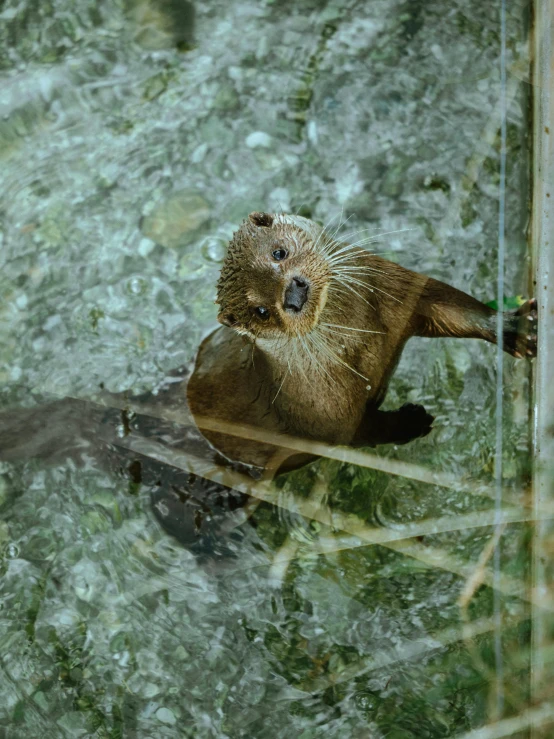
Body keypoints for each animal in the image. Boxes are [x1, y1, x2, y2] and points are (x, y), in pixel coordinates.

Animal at [187, 210, 536, 474]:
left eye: (278, 253)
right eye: (261, 312)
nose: (294, 296)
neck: (359, 344)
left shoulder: (396, 289)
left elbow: (446, 304)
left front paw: (513, 327)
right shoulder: (326, 414)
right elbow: (360, 434)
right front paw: (411, 421)